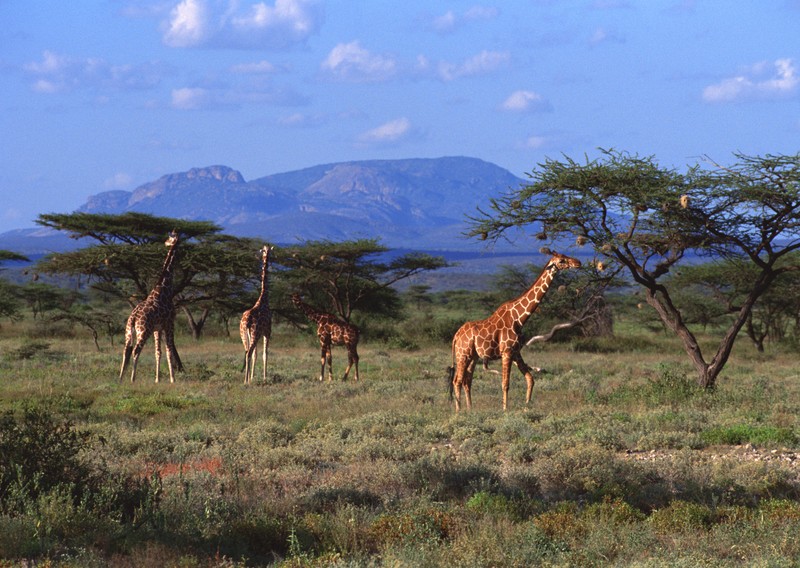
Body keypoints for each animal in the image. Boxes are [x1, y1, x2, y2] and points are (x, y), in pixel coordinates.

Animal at [119, 230, 183, 382]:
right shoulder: (169, 324)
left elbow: (158, 352)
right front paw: (172, 379)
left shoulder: (157, 328)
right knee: (136, 350)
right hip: (144, 331)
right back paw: (132, 379)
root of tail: (133, 317)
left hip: (128, 332)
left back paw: (120, 378)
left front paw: (157, 379)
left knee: (126, 350)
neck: (163, 289)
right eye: (170, 237)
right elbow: (169, 350)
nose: (165, 243)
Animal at [444, 251, 580, 410]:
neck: (519, 319)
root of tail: (456, 335)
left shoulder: (516, 352)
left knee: (467, 380)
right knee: (457, 381)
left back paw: (470, 409)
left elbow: (530, 379)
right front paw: (505, 409)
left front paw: (527, 406)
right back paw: (459, 411)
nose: (578, 263)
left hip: (473, 357)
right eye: (562, 260)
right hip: (462, 355)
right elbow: (506, 384)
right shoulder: (507, 352)